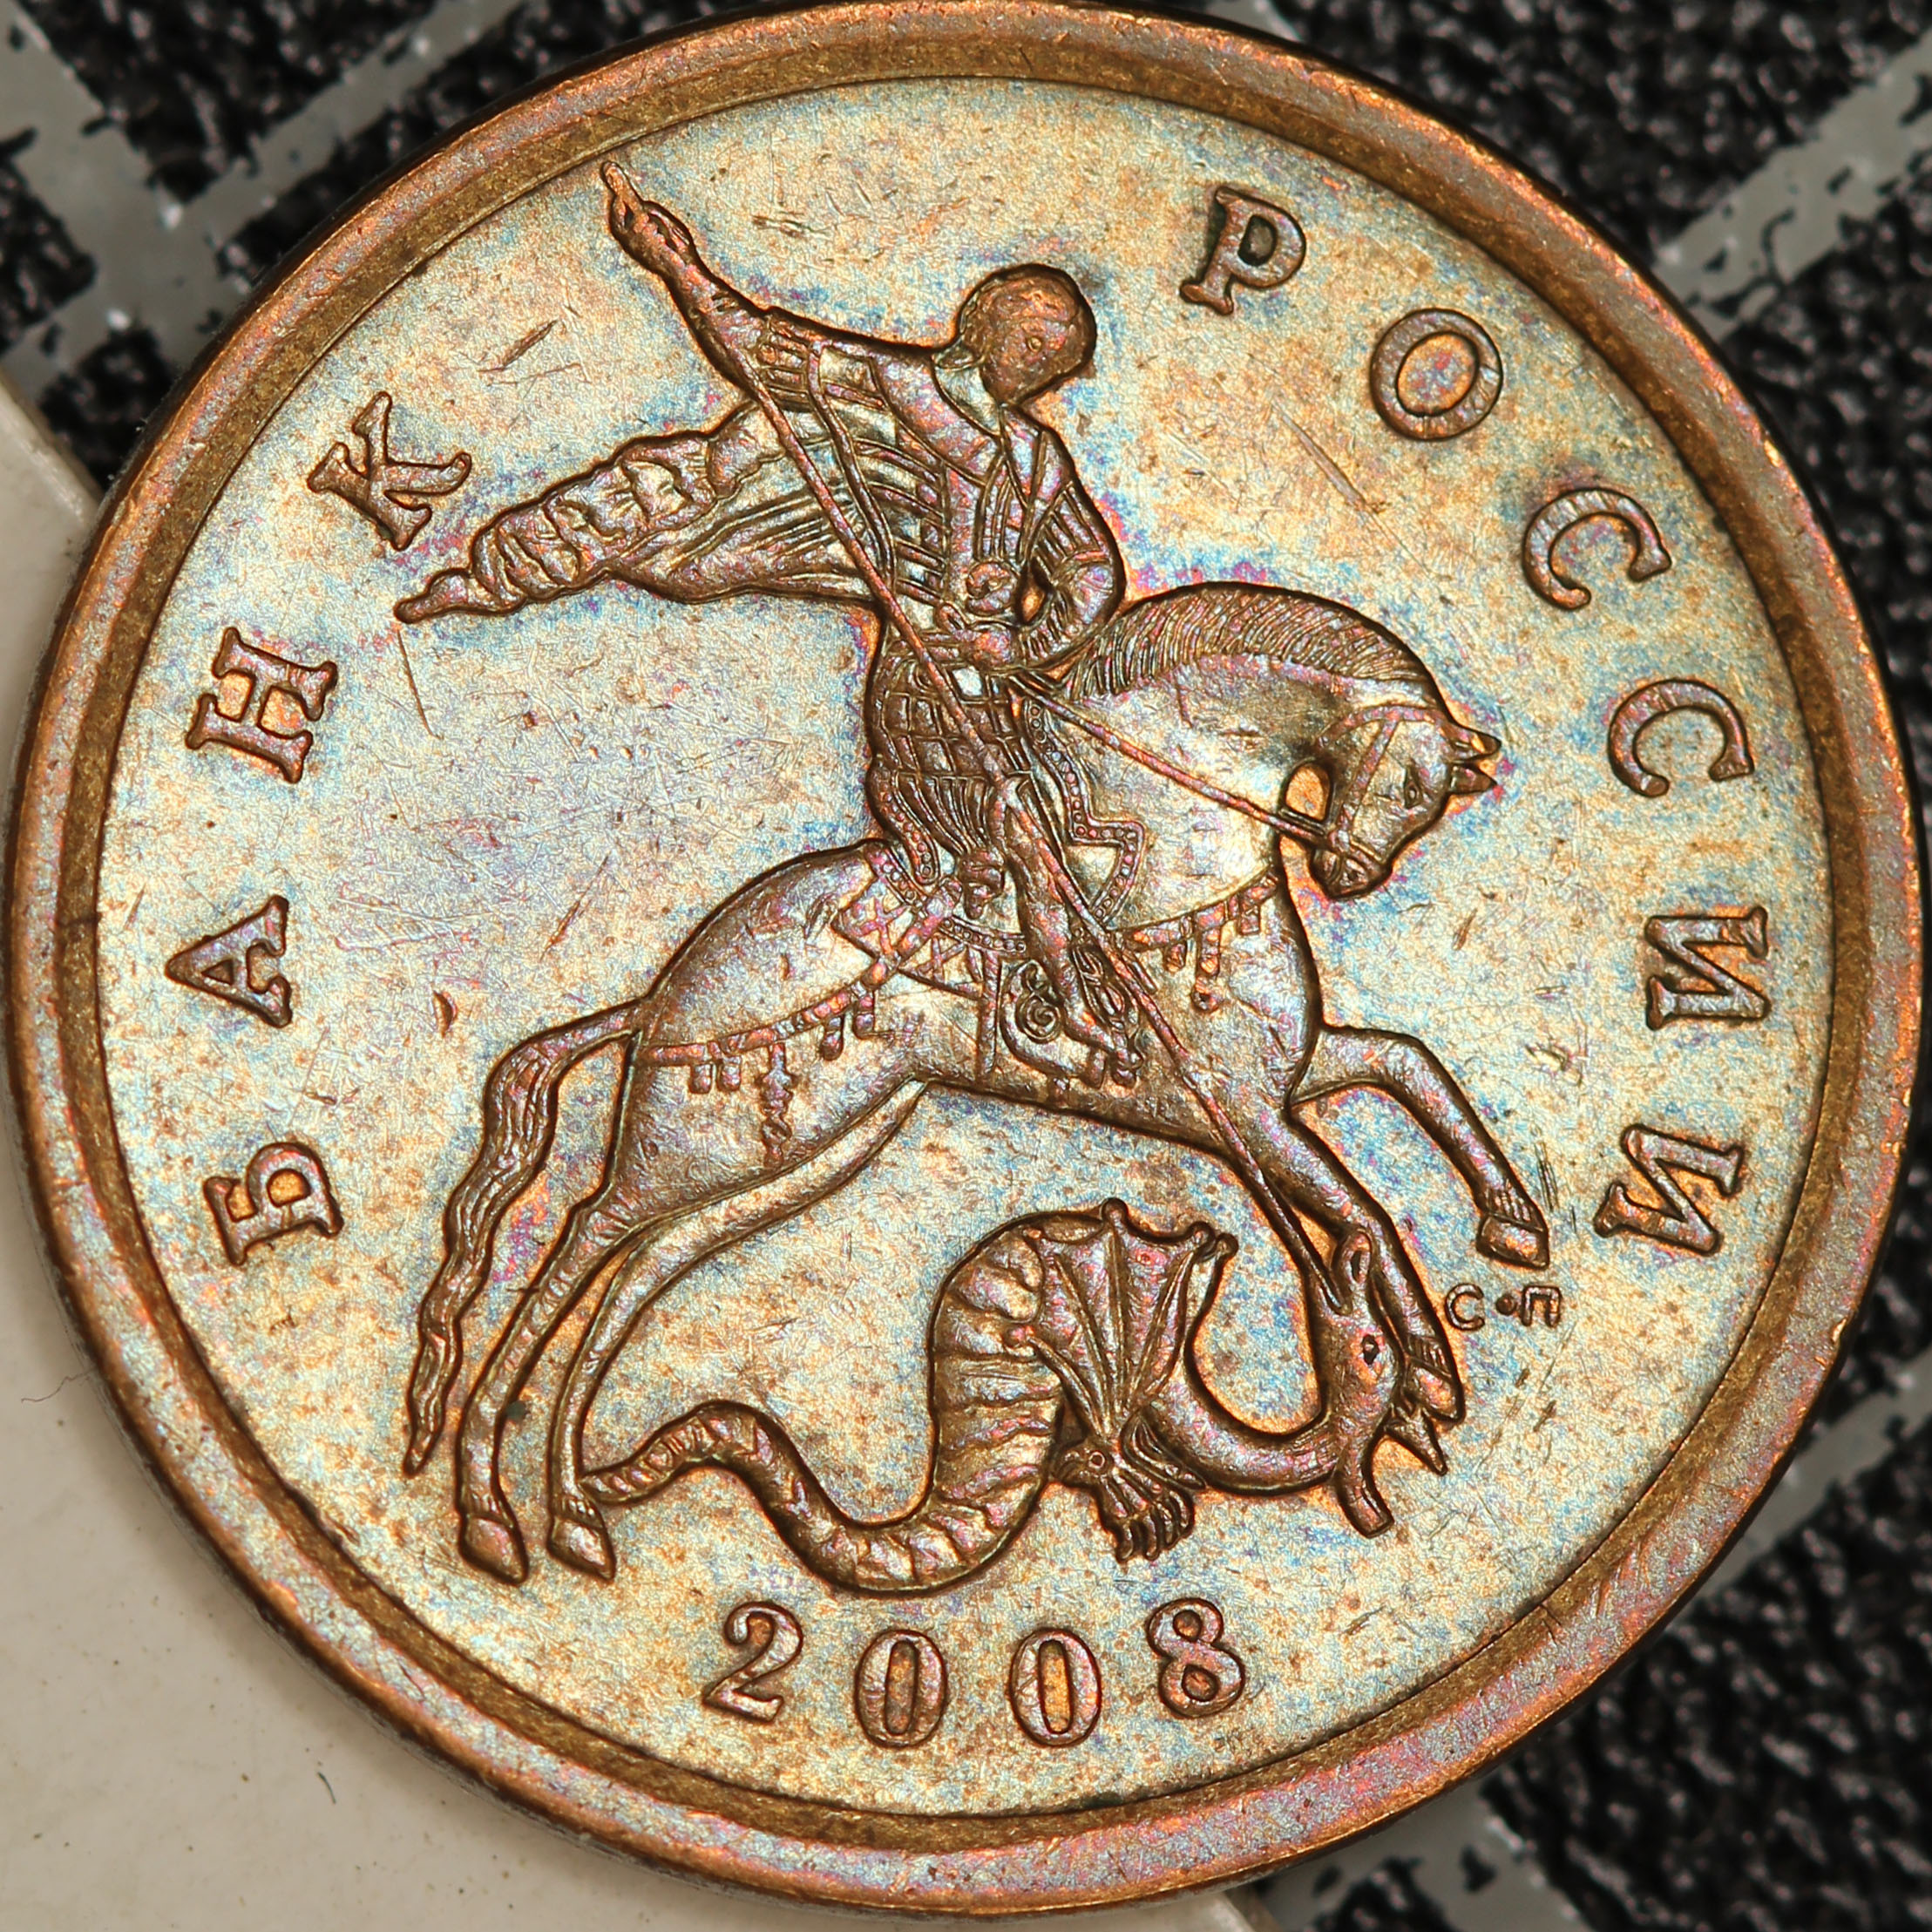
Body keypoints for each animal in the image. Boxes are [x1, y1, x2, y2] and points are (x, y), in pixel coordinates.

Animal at [401, 582, 1550, 1584]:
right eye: (1412, 784)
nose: (1354, 875)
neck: (1171, 860)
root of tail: (658, 998)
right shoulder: (1248, 1117)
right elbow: (1366, 1208)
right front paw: (1425, 1369)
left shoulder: (1281, 1082)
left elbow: (1408, 1066)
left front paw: (1509, 1228)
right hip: (694, 1145)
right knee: (577, 1245)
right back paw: (493, 1511)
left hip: (806, 1152)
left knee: (634, 1277)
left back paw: (573, 1511)